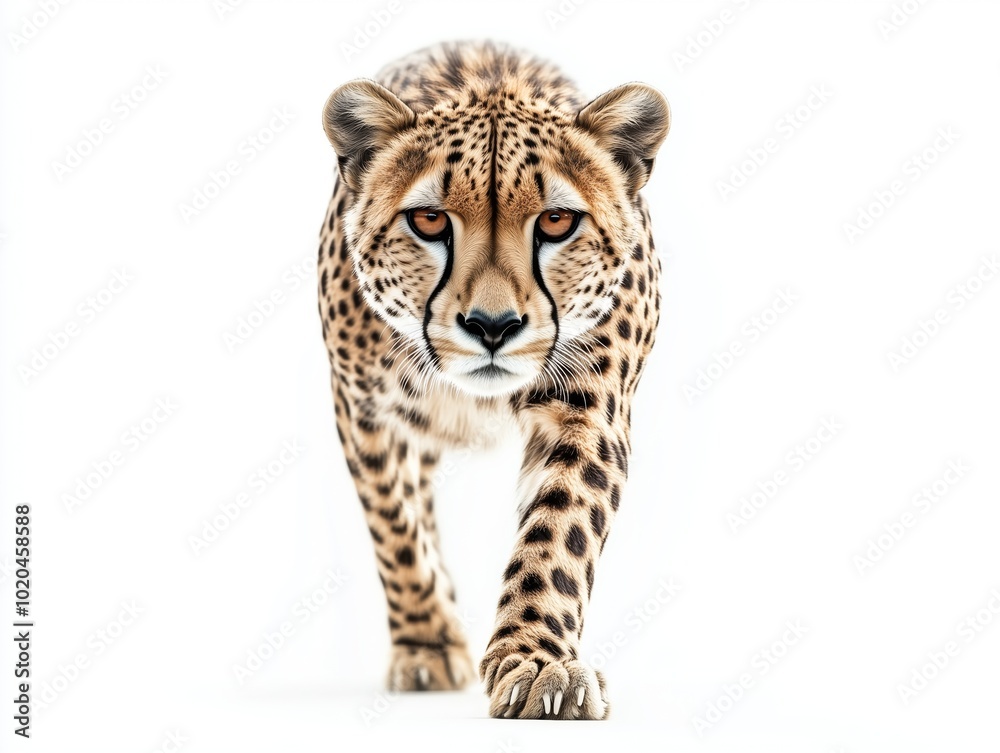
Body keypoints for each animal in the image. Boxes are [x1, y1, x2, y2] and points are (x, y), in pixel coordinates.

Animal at [317, 40, 669, 720]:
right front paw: (427, 644)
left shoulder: (589, 409)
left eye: (557, 222)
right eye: (429, 220)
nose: (492, 325)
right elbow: (397, 529)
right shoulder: (365, 412)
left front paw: (539, 663)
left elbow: (558, 533)